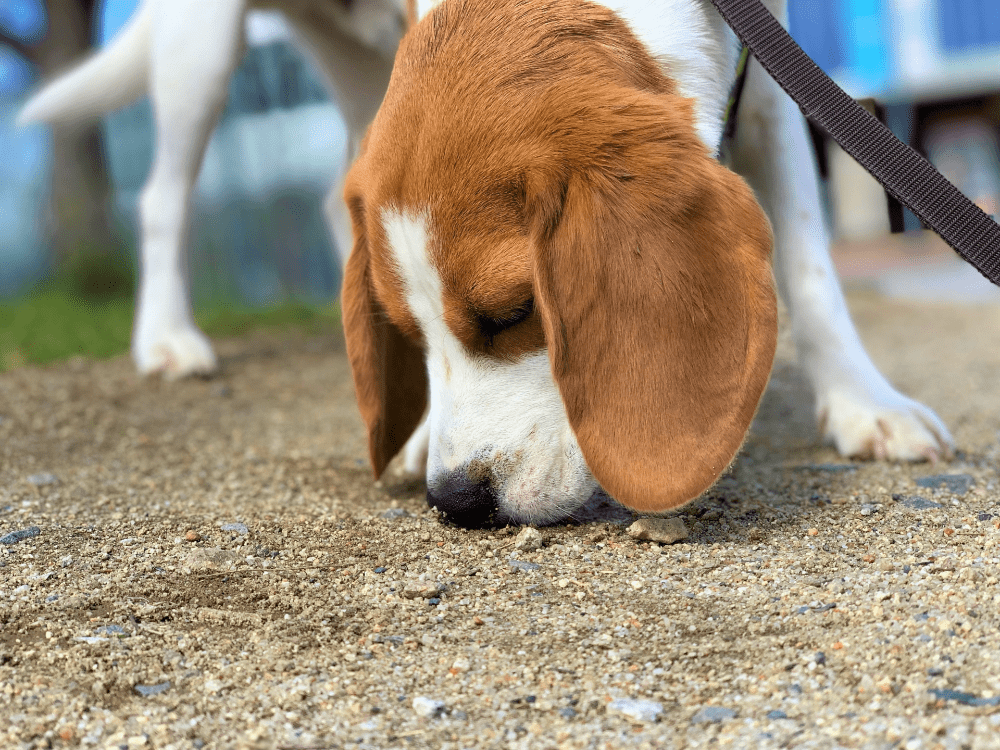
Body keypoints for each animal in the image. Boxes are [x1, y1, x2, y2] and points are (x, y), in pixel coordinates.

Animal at [342, 0, 952, 528]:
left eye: (515, 312)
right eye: (407, 333)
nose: (455, 501)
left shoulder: (771, 99)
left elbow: (811, 275)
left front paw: (865, 402)